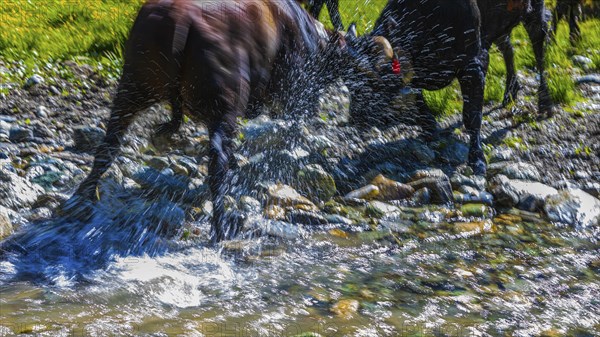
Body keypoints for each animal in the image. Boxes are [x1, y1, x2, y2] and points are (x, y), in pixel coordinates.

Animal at [344, 1, 552, 176]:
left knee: (539, 48)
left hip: (534, 13)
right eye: (350, 83)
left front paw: (477, 160)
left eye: (374, 82)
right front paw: (430, 129)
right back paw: (510, 92)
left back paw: (545, 103)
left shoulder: (474, 64)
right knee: (507, 44)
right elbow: (419, 101)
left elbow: (472, 116)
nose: (355, 116)